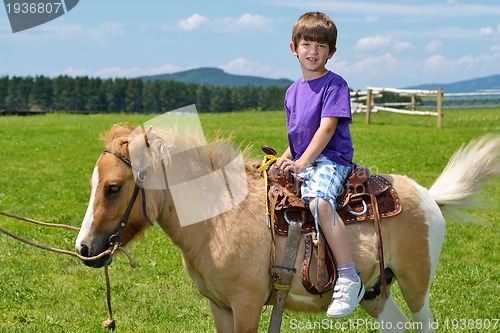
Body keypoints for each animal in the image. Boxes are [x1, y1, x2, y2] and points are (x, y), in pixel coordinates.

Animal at [75, 123, 500, 330]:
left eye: (114, 187)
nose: (84, 248)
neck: (219, 218)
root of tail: (427, 195)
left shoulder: (246, 305)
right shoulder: (220, 306)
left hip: (415, 285)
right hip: (375, 291)